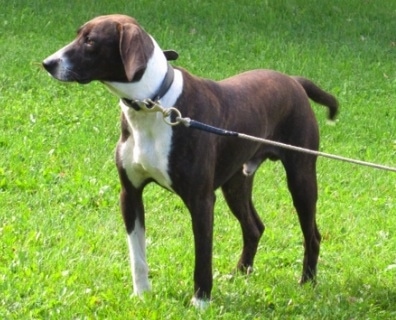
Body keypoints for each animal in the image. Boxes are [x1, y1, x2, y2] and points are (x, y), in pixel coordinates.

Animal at [42, 14, 338, 308]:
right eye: (78, 34)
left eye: (90, 41)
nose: (48, 63)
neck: (154, 104)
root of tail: (294, 81)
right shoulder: (130, 194)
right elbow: (137, 255)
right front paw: (142, 295)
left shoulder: (201, 201)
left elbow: (202, 257)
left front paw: (201, 301)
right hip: (236, 183)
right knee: (254, 227)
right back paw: (240, 273)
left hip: (301, 178)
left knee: (312, 235)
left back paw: (307, 282)